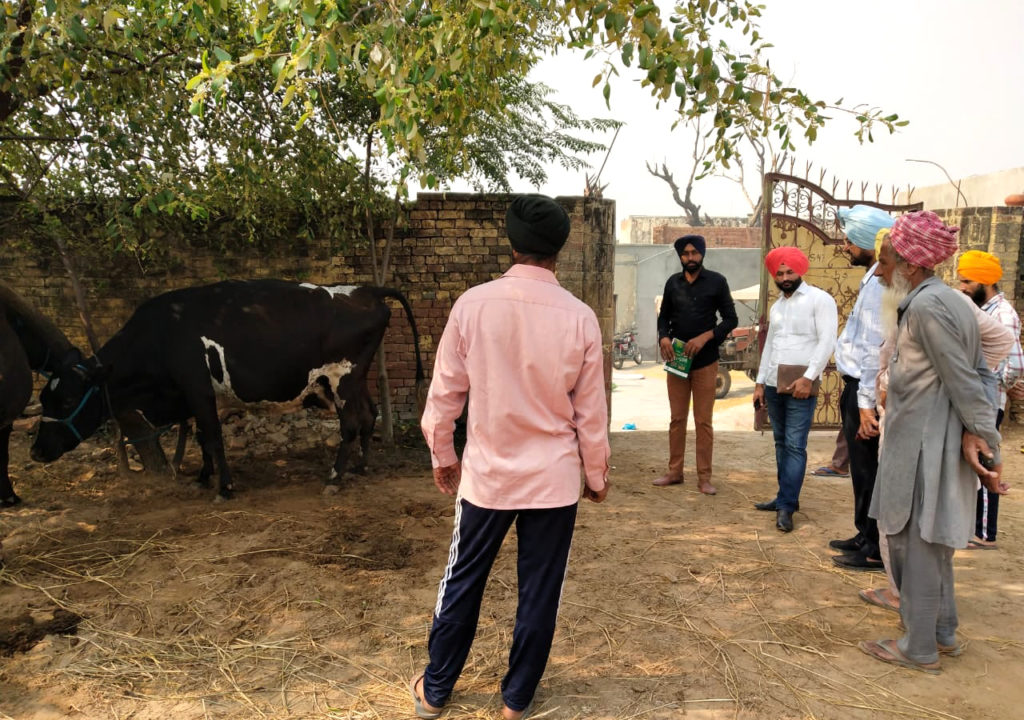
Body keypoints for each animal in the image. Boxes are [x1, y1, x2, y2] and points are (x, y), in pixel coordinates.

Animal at [30, 282, 423, 501]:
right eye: (44, 398)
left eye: (67, 399)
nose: (36, 451)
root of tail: (367, 289)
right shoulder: (194, 395)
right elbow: (202, 437)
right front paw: (203, 478)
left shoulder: (198, 389)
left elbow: (214, 437)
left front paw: (224, 487)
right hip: (354, 380)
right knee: (370, 415)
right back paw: (361, 466)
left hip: (342, 377)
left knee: (351, 425)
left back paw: (334, 477)